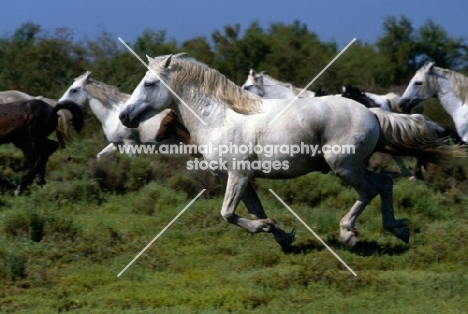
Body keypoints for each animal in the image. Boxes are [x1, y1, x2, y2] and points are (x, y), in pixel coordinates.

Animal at [118, 55, 464, 249]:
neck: (220, 118)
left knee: (370, 190)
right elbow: (253, 211)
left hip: (343, 166)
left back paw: (349, 233)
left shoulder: (237, 175)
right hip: (354, 165)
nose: (124, 116)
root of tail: (371, 112)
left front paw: (272, 229)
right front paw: (282, 236)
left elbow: (228, 214)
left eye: (149, 83)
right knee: (386, 184)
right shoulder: (245, 179)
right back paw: (398, 229)